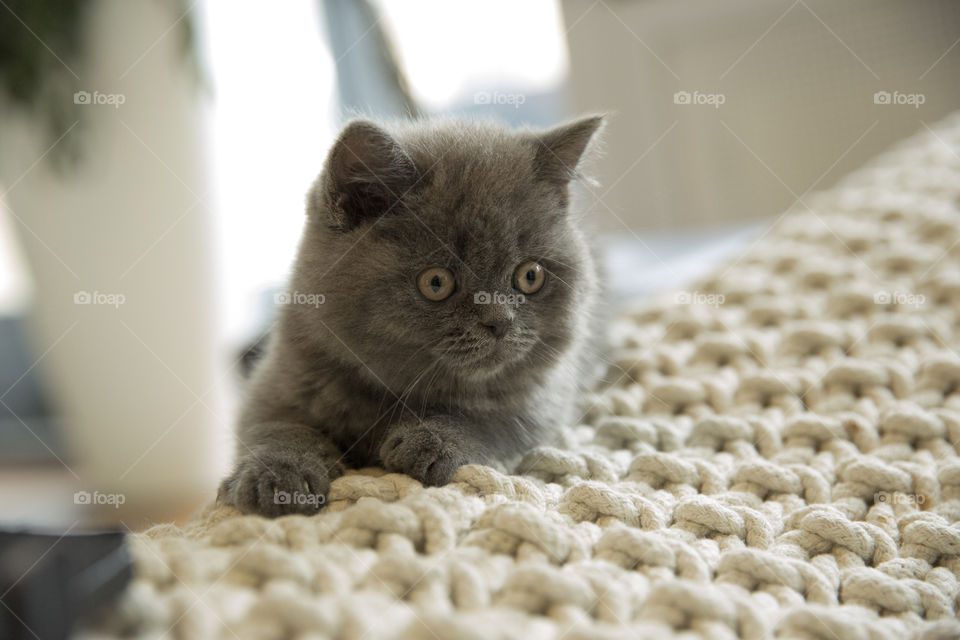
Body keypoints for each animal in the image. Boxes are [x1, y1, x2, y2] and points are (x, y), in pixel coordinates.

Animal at [221, 114, 604, 516]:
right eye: (436, 282)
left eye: (530, 275)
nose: (500, 322)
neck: (396, 391)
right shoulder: (284, 377)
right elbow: (275, 426)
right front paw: (279, 475)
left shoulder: (544, 400)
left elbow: (491, 419)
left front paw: (434, 441)